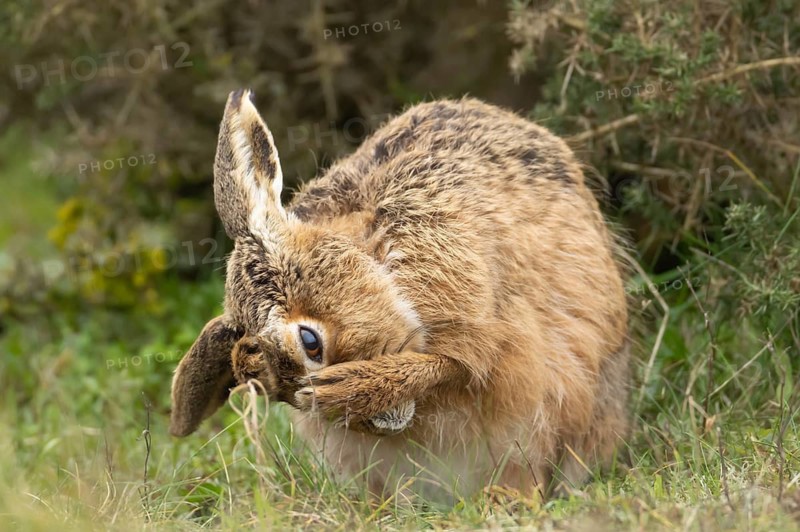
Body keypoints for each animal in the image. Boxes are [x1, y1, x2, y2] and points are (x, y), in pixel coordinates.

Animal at [169, 89, 630, 498]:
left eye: (310, 342)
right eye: (270, 390)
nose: (375, 425)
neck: (375, 259)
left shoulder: (484, 318)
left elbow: (453, 363)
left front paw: (353, 389)